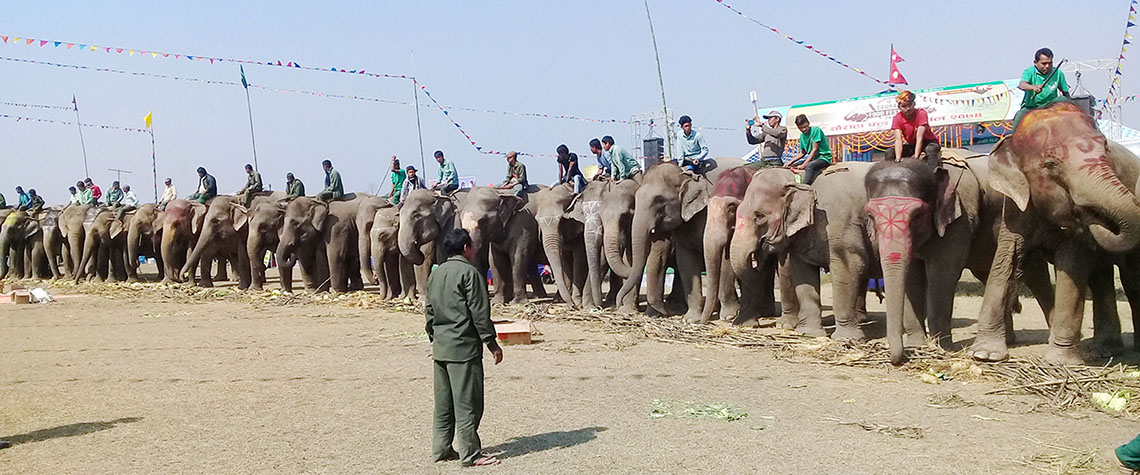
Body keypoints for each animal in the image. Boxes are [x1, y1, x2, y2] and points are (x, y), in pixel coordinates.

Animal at [615, 158, 752, 322]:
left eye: (659, 200)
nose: (617, 304)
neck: (685, 174)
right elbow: (684, 259)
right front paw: (690, 319)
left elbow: (726, 259)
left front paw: (729, 316)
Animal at [732, 163, 875, 338]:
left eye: (759, 216)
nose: (756, 259)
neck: (799, 180)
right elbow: (801, 271)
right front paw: (807, 332)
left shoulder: (841, 222)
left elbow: (851, 265)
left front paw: (847, 339)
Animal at [972, 102, 1140, 364]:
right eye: (1051, 164)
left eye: (1105, 149)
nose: (1091, 211)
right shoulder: (1016, 204)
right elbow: (1007, 259)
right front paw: (985, 355)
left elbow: (1072, 265)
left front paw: (1059, 362)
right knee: (1101, 278)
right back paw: (1102, 351)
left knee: (1132, 280)